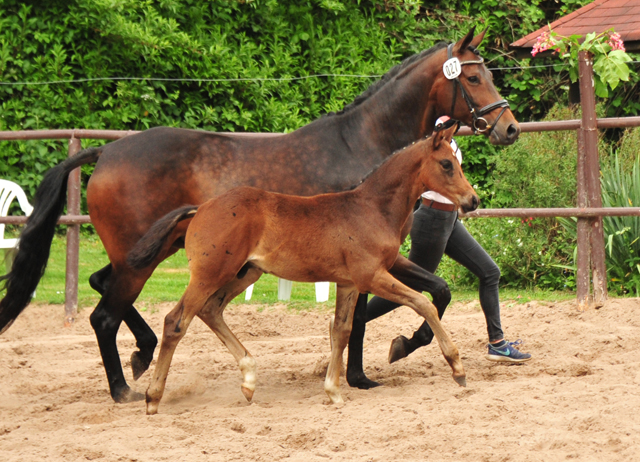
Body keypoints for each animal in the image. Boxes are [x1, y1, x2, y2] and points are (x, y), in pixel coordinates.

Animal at [130, 123, 478, 416]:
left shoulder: (351, 283)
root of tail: (201, 208)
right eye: (446, 164)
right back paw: (153, 398)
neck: (371, 209)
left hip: (245, 273)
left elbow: (342, 330)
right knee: (176, 322)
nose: (472, 200)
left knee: (211, 310)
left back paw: (249, 379)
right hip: (210, 275)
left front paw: (333, 391)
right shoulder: (371, 277)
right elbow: (423, 304)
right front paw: (457, 367)